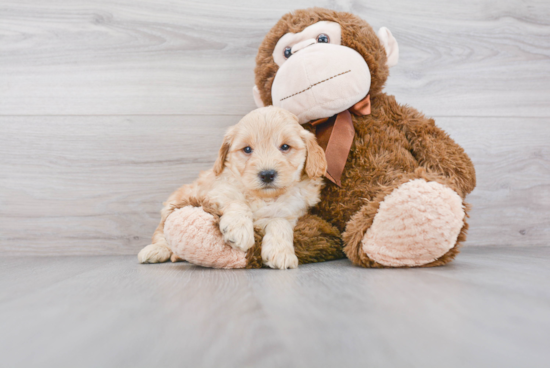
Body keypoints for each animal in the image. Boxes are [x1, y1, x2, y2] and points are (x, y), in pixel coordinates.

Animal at [138, 106, 328, 270]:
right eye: (247, 149)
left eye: (285, 147)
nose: (267, 174)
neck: (263, 197)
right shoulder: (215, 193)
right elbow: (237, 201)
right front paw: (239, 229)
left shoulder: (292, 213)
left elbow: (279, 221)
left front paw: (280, 252)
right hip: (173, 204)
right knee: (161, 233)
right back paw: (155, 250)